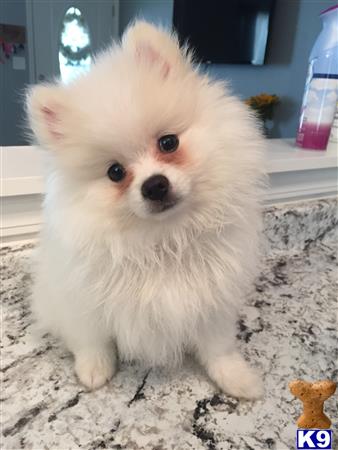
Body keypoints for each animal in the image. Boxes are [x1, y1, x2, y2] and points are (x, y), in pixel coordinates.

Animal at [27, 22, 266, 400]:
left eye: (168, 142)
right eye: (115, 172)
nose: (154, 185)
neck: (163, 238)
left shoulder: (213, 302)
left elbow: (218, 348)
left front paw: (236, 378)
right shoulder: (82, 301)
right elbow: (92, 341)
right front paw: (94, 370)